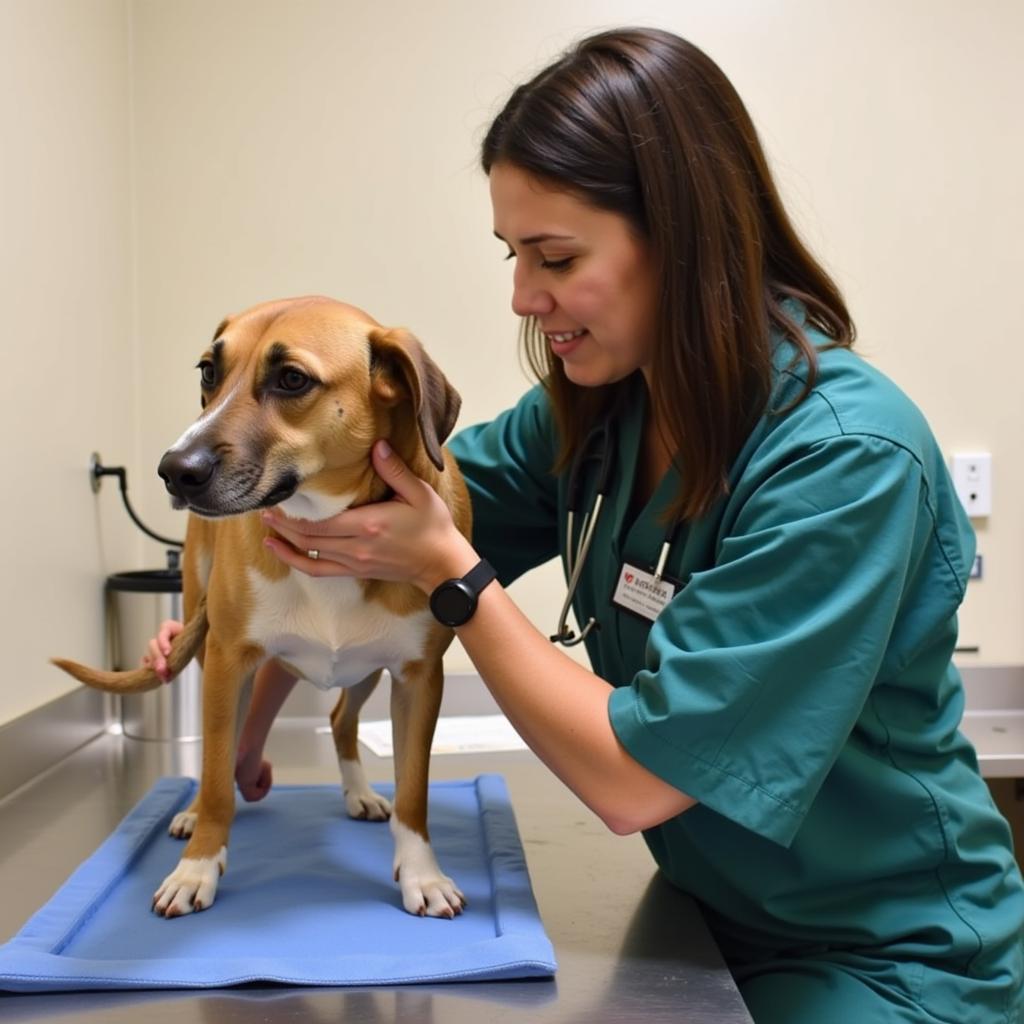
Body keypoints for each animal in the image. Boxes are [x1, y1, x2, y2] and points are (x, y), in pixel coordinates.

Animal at [54, 294, 468, 921]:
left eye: (292, 379)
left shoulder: (420, 678)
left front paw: (422, 874)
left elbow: (414, 793)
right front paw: (198, 867)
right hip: (209, 645)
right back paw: (193, 814)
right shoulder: (229, 662)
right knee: (228, 752)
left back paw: (359, 793)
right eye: (208, 371)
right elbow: (216, 778)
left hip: (366, 669)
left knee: (340, 719)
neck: (321, 527)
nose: (175, 470)